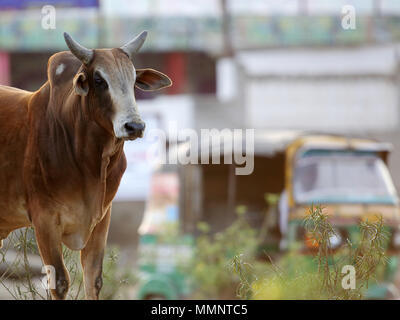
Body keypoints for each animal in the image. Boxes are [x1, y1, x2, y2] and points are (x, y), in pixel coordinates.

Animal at [0, 31, 170, 298]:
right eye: (99, 80)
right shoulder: (44, 220)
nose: (134, 126)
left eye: (134, 80)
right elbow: (59, 281)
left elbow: (94, 278)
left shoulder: (101, 220)